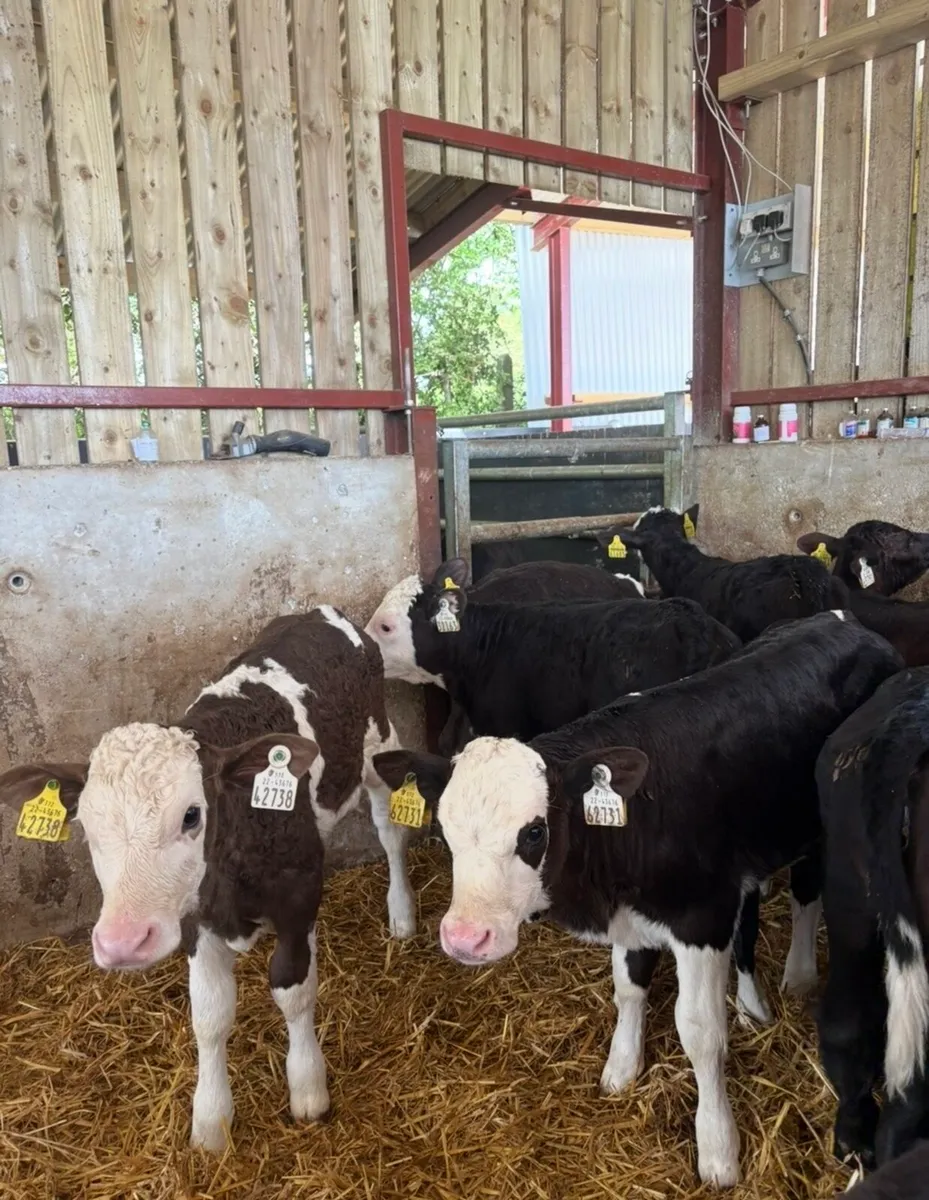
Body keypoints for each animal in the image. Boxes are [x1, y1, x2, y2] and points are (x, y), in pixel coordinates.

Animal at [0, 607, 415, 1153]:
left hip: (380, 748)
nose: (121, 942)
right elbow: (210, 1015)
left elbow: (294, 991)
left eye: (191, 815)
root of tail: (321, 612)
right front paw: (211, 1120)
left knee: (391, 833)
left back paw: (402, 912)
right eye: (85, 827)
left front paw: (308, 1087)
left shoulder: (299, 893)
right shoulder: (196, 916)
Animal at [374, 612, 903, 1188]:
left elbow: (700, 1032)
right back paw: (753, 1004)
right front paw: (622, 1066)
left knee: (807, 892)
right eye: (444, 830)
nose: (465, 938)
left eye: (533, 832)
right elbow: (628, 991)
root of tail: (844, 622)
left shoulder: (702, 918)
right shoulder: (635, 913)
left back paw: (799, 974)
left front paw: (718, 1148)